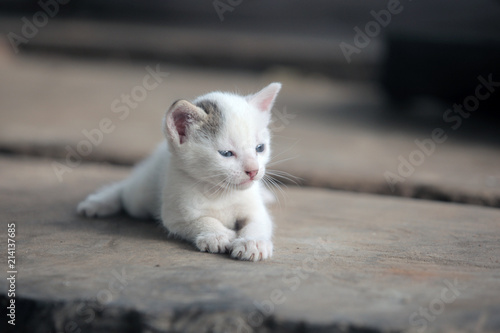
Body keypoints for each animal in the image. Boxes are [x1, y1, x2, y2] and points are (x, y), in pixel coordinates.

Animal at [77, 81, 282, 260]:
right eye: (226, 153)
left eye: (260, 148)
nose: (253, 170)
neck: (219, 192)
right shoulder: (175, 214)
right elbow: (200, 220)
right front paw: (216, 235)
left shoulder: (255, 210)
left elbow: (258, 223)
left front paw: (252, 243)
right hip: (138, 199)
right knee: (125, 189)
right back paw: (100, 202)